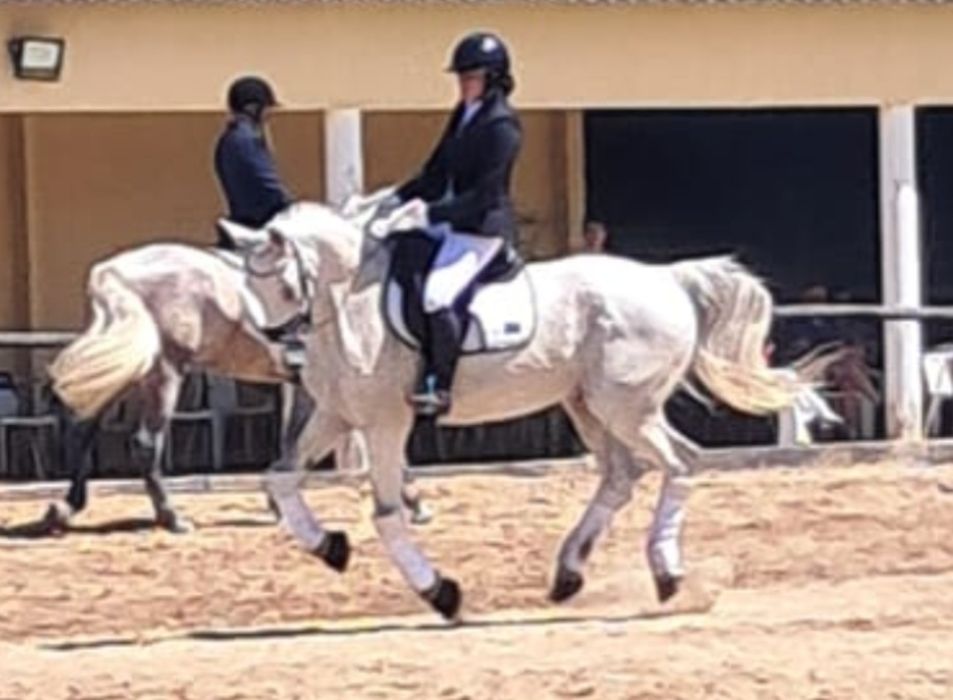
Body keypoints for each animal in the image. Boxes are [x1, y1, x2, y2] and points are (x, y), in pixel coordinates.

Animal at [176, 200, 822, 620]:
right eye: (250, 289)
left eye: (287, 286)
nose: (285, 354)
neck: (352, 306)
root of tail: (668, 278)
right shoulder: (337, 415)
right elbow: (281, 478)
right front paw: (329, 546)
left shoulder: (386, 423)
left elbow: (386, 514)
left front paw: (440, 592)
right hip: (588, 405)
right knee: (621, 476)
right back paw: (569, 575)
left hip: (627, 406)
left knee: (681, 463)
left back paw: (667, 574)